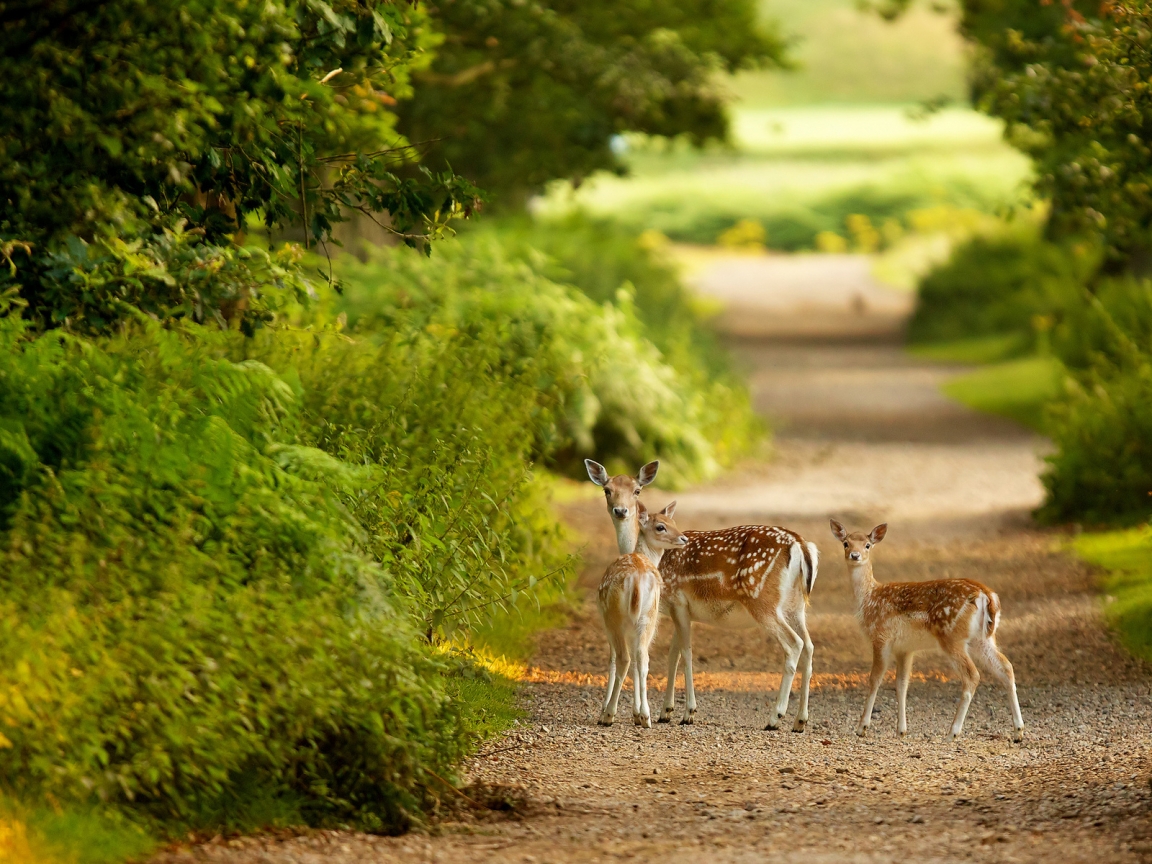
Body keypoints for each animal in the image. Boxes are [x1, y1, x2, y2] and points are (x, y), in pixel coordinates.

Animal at [599, 504, 686, 728]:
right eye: (661, 526)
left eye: (674, 522)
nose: (684, 538)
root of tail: (637, 580)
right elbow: (639, 662)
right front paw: (637, 714)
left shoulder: (608, 621)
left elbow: (613, 660)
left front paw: (606, 711)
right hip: (648, 616)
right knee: (642, 658)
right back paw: (646, 716)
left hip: (615, 617)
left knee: (624, 658)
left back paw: (608, 715)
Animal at [829, 518, 1027, 746]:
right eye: (846, 543)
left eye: (868, 545)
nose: (855, 555)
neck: (869, 599)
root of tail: (987, 596)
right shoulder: (905, 648)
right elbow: (901, 684)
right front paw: (901, 731)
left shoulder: (881, 637)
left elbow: (874, 679)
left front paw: (862, 727)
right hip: (983, 639)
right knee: (1006, 667)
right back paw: (1018, 731)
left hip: (951, 636)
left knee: (972, 675)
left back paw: (952, 732)